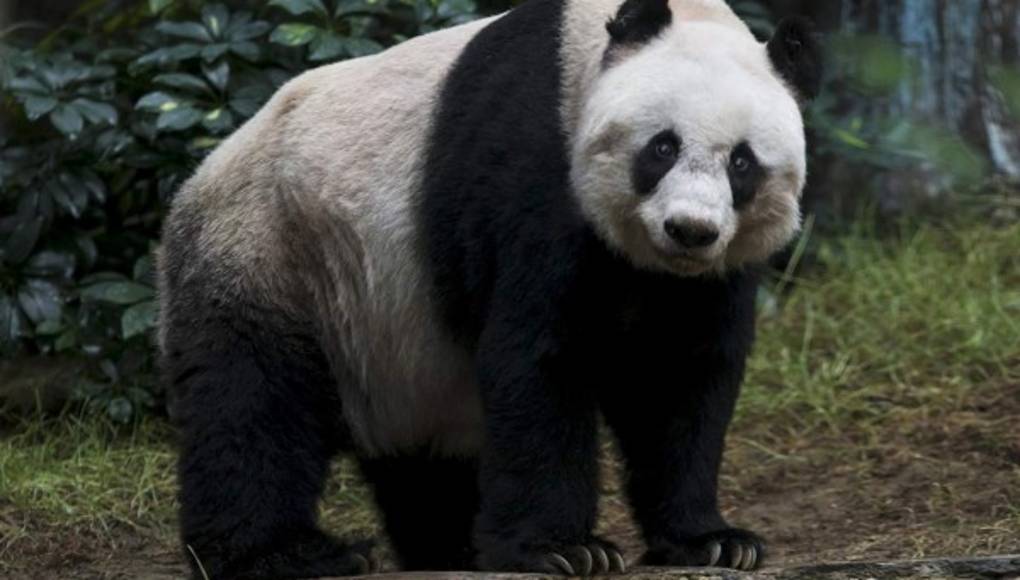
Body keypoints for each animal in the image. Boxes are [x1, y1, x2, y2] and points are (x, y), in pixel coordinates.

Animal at [157, 0, 821, 576]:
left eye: (742, 163)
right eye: (662, 147)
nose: (690, 230)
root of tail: (196, 178)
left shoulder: (704, 277)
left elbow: (677, 377)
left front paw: (714, 541)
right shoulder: (534, 168)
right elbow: (539, 359)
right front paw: (564, 551)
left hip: (393, 342)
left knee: (425, 461)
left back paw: (447, 547)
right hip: (273, 250)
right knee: (253, 404)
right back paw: (288, 555)